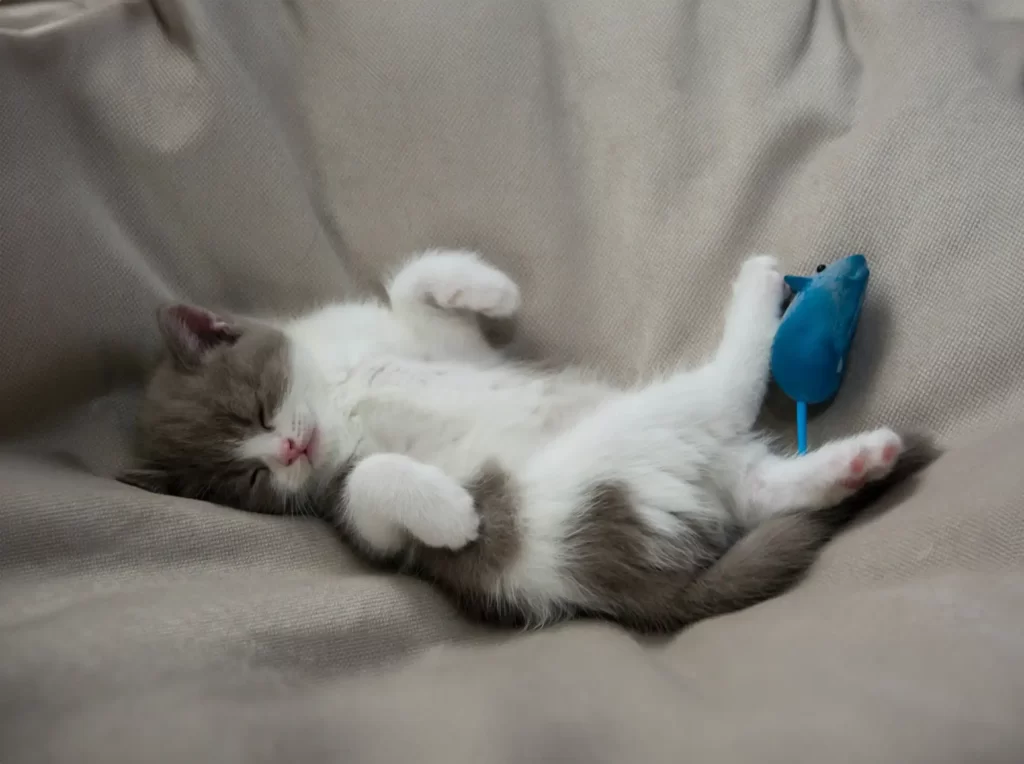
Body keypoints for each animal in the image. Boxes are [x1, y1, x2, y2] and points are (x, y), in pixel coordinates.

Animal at [119, 249, 937, 630]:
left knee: (764, 486)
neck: (342, 392)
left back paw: (857, 458)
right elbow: (369, 484)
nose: (286, 453)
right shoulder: (364, 527)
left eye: (256, 412)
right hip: (642, 435)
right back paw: (764, 300)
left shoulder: (442, 347)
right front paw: (453, 513)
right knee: (727, 396)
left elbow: (415, 283)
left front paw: (490, 288)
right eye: (247, 482)